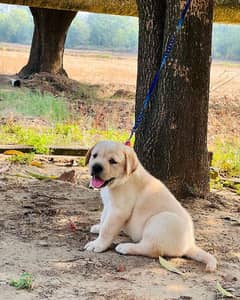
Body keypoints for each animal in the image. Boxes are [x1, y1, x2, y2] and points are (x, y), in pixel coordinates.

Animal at [85, 141, 218, 272]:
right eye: (94, 155)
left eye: (113, 161)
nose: (96, 167)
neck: (122, 180)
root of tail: (189, 245)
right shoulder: (108, 205)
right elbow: (103, 220)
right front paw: (98, 228)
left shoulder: (119, 210)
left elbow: (107, 229)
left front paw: (98, 244)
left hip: (160, 221)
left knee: (153, 250)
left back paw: (126, 247)